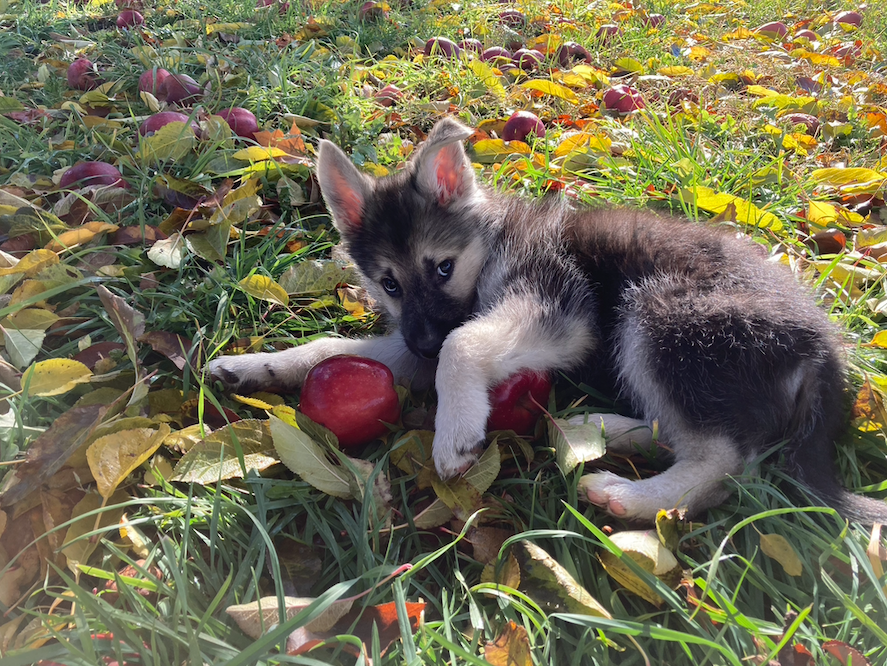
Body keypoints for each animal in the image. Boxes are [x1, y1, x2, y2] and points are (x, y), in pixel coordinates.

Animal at [212, 119, 887, 524]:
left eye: (441, 268)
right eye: (389, 283)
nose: (423, 344)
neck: (491, 243)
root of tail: (824, 348)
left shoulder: (556, 311)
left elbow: (463, 344)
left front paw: (454, 434)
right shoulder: (423, 340)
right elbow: (334, 347)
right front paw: (253, 366)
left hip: (660, 313)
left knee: (724, 458)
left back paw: (629, 496)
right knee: (681, 430)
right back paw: (598, 428)